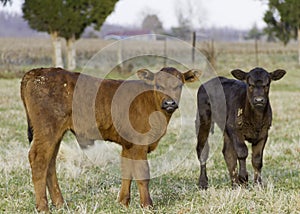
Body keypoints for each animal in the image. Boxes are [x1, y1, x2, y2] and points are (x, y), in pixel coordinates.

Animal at [21, 67, 202, 212]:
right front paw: (147, 205)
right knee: (39, 160)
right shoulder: (139, 144)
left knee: (50, 163)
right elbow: (142, 173)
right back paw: (43, 207)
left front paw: (123, 202)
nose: (169, 103)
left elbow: (127, 171)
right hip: (47, 130)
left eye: (179, 85)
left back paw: (60, 204)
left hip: (55, 133)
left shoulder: (128, 145)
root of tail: (37, 72)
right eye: (158, 85)